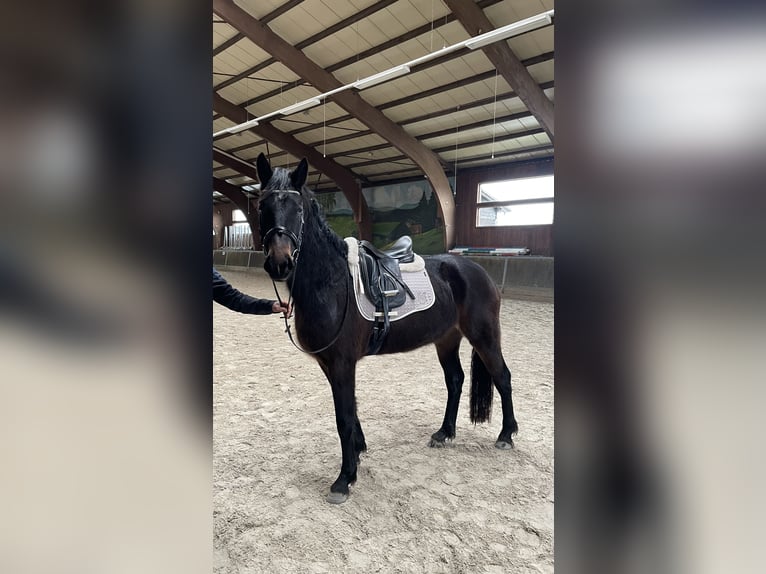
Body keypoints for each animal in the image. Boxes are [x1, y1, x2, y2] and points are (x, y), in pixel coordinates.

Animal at [256, 153, 518, 504]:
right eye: (262, 206)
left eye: (298, 209)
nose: (279, 262)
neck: (332, 283)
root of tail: (475, 269)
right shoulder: (330, 364)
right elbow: (350, 411)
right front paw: (358, 452)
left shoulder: (342, 362)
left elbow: (343, 417)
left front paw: (344, 479)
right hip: (446, 339)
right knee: (455, 380)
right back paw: (444, 433)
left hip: (484, 336)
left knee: (502, 377)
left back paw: (506, 435)